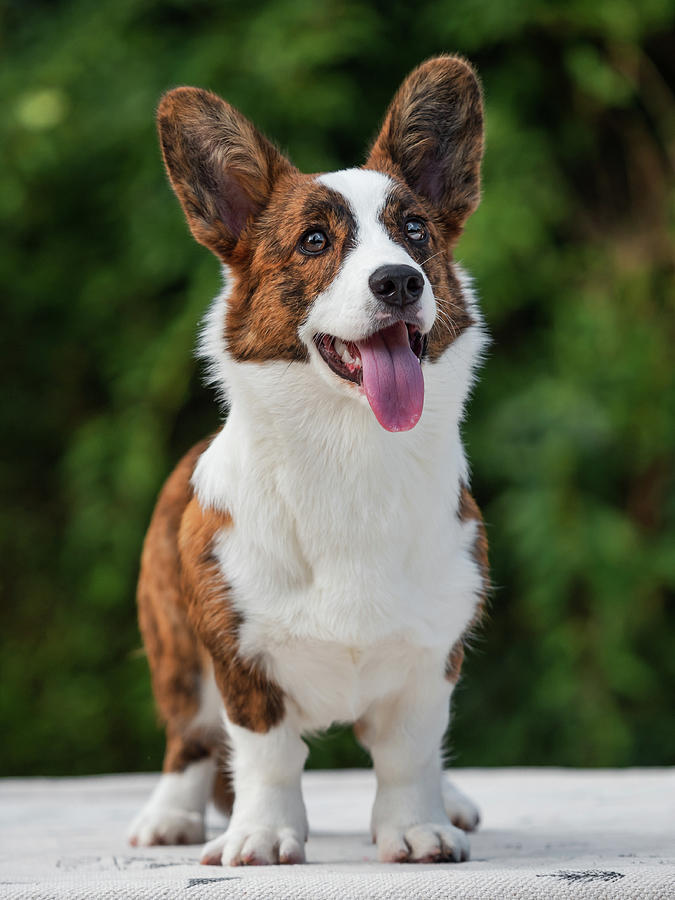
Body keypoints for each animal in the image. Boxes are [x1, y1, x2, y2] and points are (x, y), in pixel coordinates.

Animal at [128, 54, 486, 864]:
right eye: (315, 241)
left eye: (414, 230)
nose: (400, 281)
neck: (352, 453)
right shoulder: (239, 655)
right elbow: (265, 755)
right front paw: (260, 836)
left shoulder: (433, 654)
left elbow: (410, 752)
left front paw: (419, 828)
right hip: (173, 649)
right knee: (188, 739)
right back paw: (168, 815)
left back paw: (452, 800)